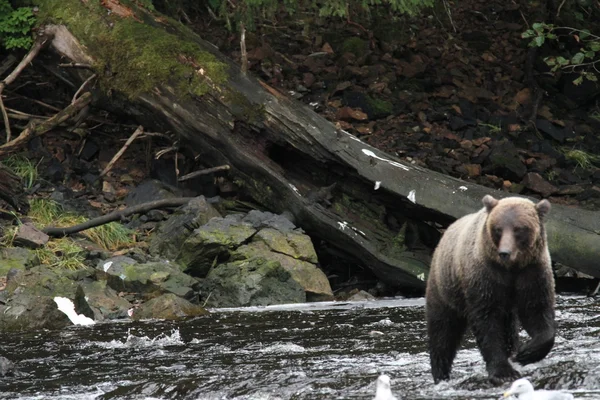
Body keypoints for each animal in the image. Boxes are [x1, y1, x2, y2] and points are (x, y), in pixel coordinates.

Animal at [424, 194, 556, 384]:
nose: (505, 252)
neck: (511, 268)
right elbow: (487, 322)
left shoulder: (532, 272)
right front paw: (503, 371)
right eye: (498, 229)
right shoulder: (485, 276)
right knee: (443, 330)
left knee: (508, 329)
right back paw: (440, 374)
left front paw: (525, 353)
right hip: (444, 288)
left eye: (519, 229)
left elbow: (537, 311)